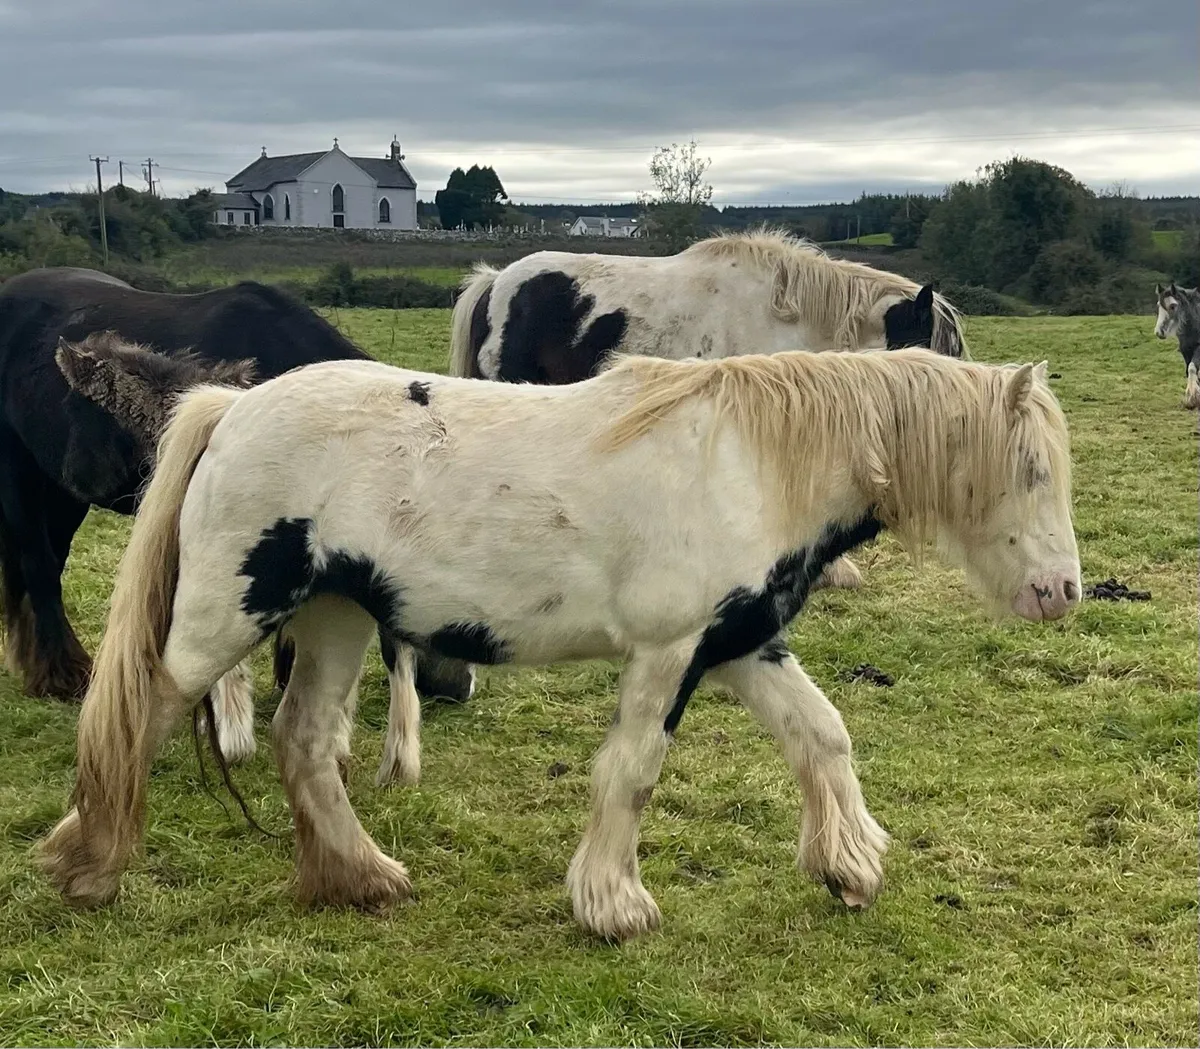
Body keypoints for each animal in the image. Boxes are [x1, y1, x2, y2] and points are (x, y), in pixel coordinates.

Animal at [39, 346, 1081, 943]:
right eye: (1031, 469)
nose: (1064, 591)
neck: (746, 463)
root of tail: (231, 410)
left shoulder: (740, 643)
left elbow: (822, 736)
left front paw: (849, 867)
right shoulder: (670, 652)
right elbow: (632, 773)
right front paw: (613, 907)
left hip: (333, 619)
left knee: (303, 744)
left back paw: (363, 879)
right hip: (224, 618)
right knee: (136, 718)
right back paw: (87, 868)